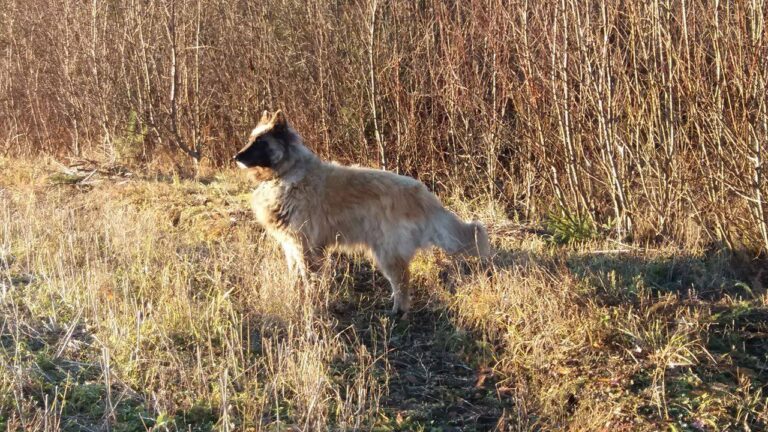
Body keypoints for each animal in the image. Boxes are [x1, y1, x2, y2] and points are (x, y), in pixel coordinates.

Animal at [232, 109, 492, 316]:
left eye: (261, 142)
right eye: (251, 139)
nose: (236, 157)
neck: (287, 173)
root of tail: (423, 194)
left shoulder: (305, 247)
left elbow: (309, 281)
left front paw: (310, 304)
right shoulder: (291, 246)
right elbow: (296, 277)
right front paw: (297, 298)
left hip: (385, 253)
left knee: (402, 281)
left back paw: (398, 312)